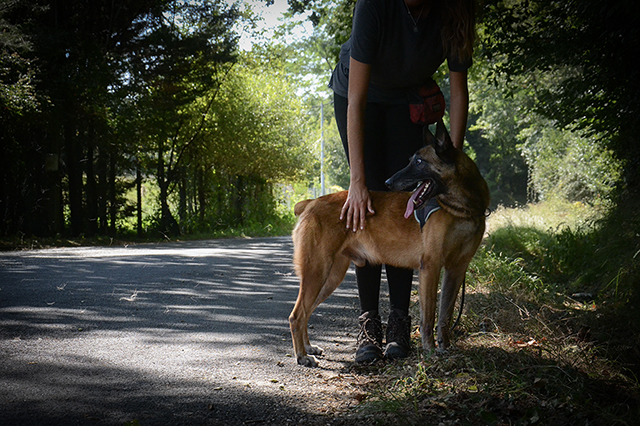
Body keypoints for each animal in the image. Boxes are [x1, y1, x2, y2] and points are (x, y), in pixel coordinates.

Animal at [290, 122, 490, 366]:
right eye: (412, 160)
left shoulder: (456, 269)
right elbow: (428, 317)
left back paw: (308, 348)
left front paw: (445, 348)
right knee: (297, 315)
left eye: (419, 161)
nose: (388, 182)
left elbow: (445, 315)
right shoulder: (430, 267)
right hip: (317, 273)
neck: (461, 210)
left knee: (306, 312)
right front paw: (430, 350)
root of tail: (311, 203)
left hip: (329, 277)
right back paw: (302, 355)